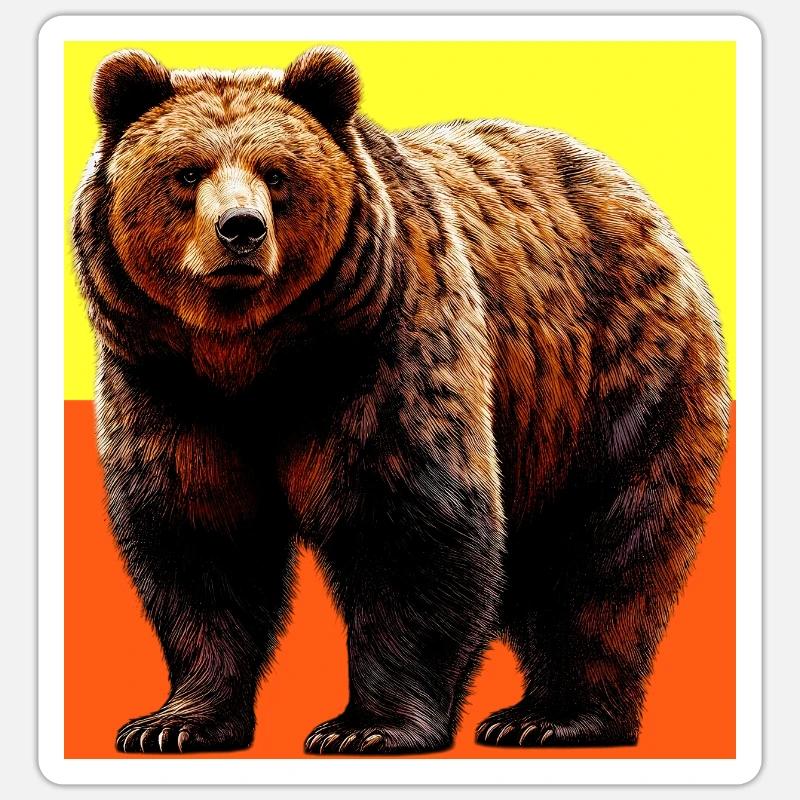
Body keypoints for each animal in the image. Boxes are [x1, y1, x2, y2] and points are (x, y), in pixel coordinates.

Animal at [72, 46, 730, 755]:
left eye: (276, 173)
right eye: (187, 172)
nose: (240, 229)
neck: (252, 358)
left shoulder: (385, 350)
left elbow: (410, 521)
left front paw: (366, 728)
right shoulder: (167, 383)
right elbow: (197, 530)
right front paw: (174, 722)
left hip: (612, 376)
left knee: (606, 545)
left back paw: (551, 716)